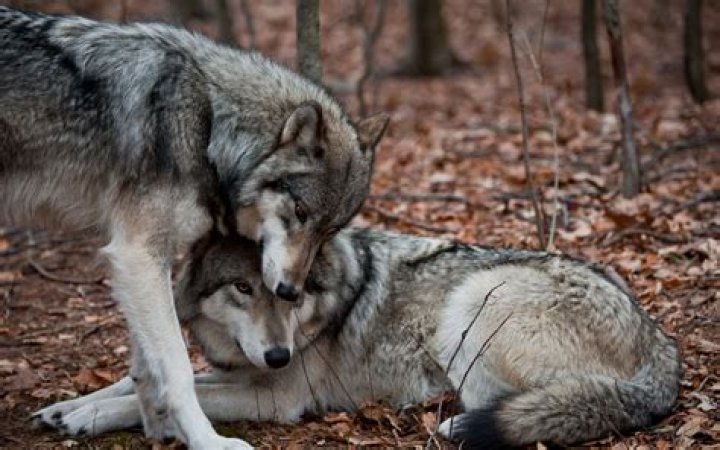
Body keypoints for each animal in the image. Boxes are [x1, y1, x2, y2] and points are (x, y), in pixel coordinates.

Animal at [1, 7, 388, 448]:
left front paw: (152, 427)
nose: (290, 290)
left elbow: (145, 367)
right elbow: (178, 368)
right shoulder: (137, 253)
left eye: (329, 230)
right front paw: (207, 440)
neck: (207, 124)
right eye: (300, 211)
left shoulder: (146, 261)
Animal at [34, 229, 681, 449]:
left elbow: (175, 395)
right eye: (243, 287)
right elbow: (138, 382)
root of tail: (662, 345)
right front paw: (66, 407)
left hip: (473, 302)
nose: (279, 355)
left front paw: (88, 420)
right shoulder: (237, 368)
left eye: (288, 291)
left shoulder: (276, 397)